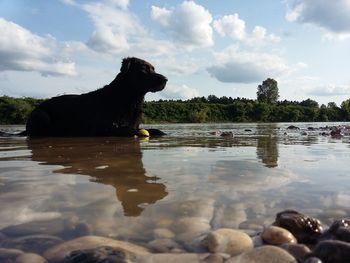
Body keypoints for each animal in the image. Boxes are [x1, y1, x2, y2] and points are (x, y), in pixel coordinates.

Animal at [24, 57, 167, 137]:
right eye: (143, 69)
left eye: (153, 69)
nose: (166, 79)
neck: (129, 99)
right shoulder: (102, 127)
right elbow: (128, 131)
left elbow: (153, 130)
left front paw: (160, 132)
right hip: (41, 114)